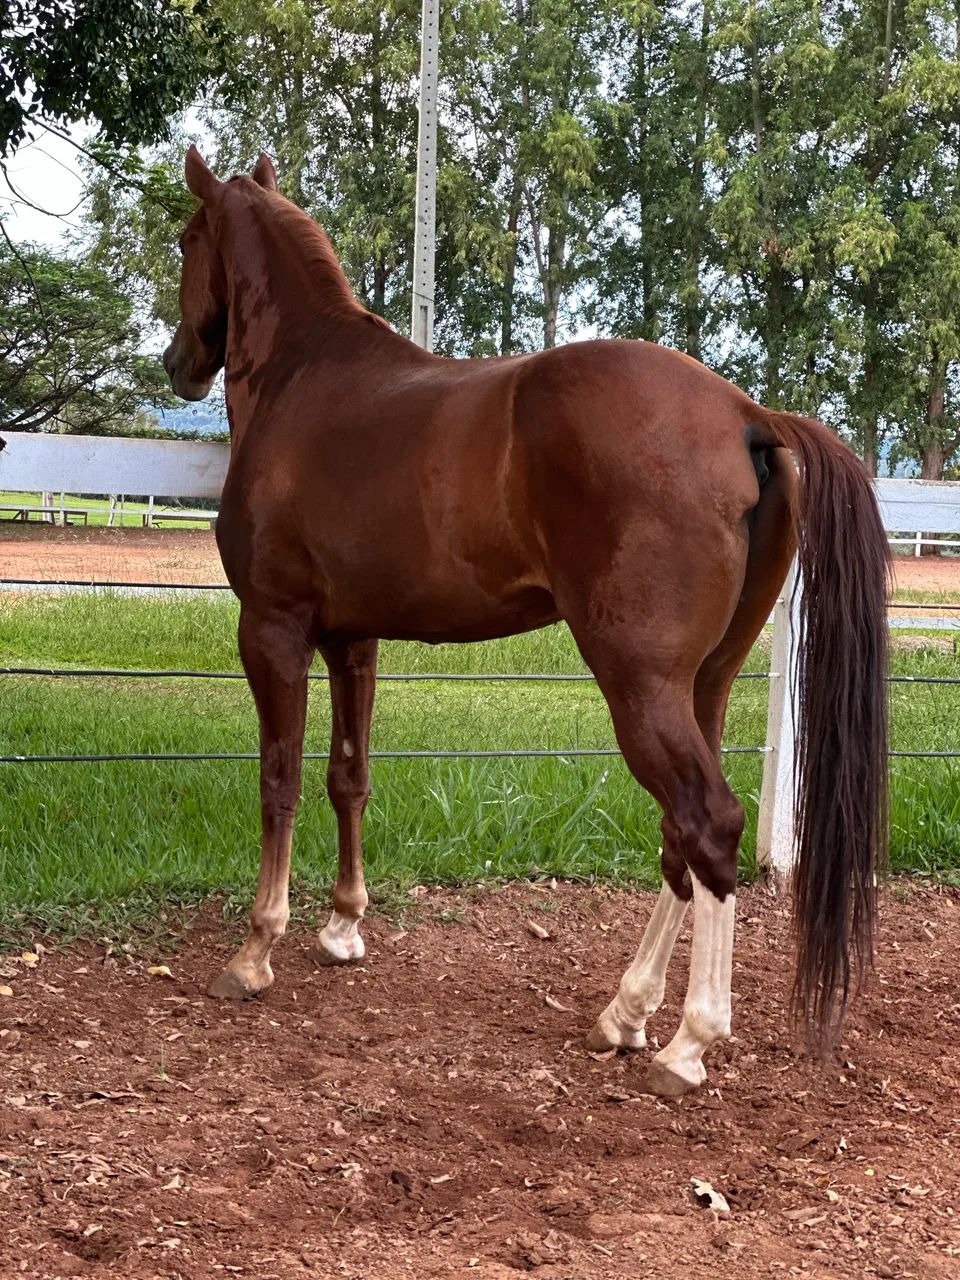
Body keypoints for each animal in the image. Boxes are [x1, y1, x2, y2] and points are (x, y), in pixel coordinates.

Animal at [163, 146, 888, 1097]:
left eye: (187, 239)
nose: (177, 362)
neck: (305, 376)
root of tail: (746, 417)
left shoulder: (273, 630)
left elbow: (278, 781)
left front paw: (255, 951)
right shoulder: (353, 639)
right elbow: (348, 776)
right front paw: (343, 928)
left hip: (640, 685)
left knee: (708, 824)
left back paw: (688, 1044)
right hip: (706, 682)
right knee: (681, 841)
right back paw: (625, 1014)